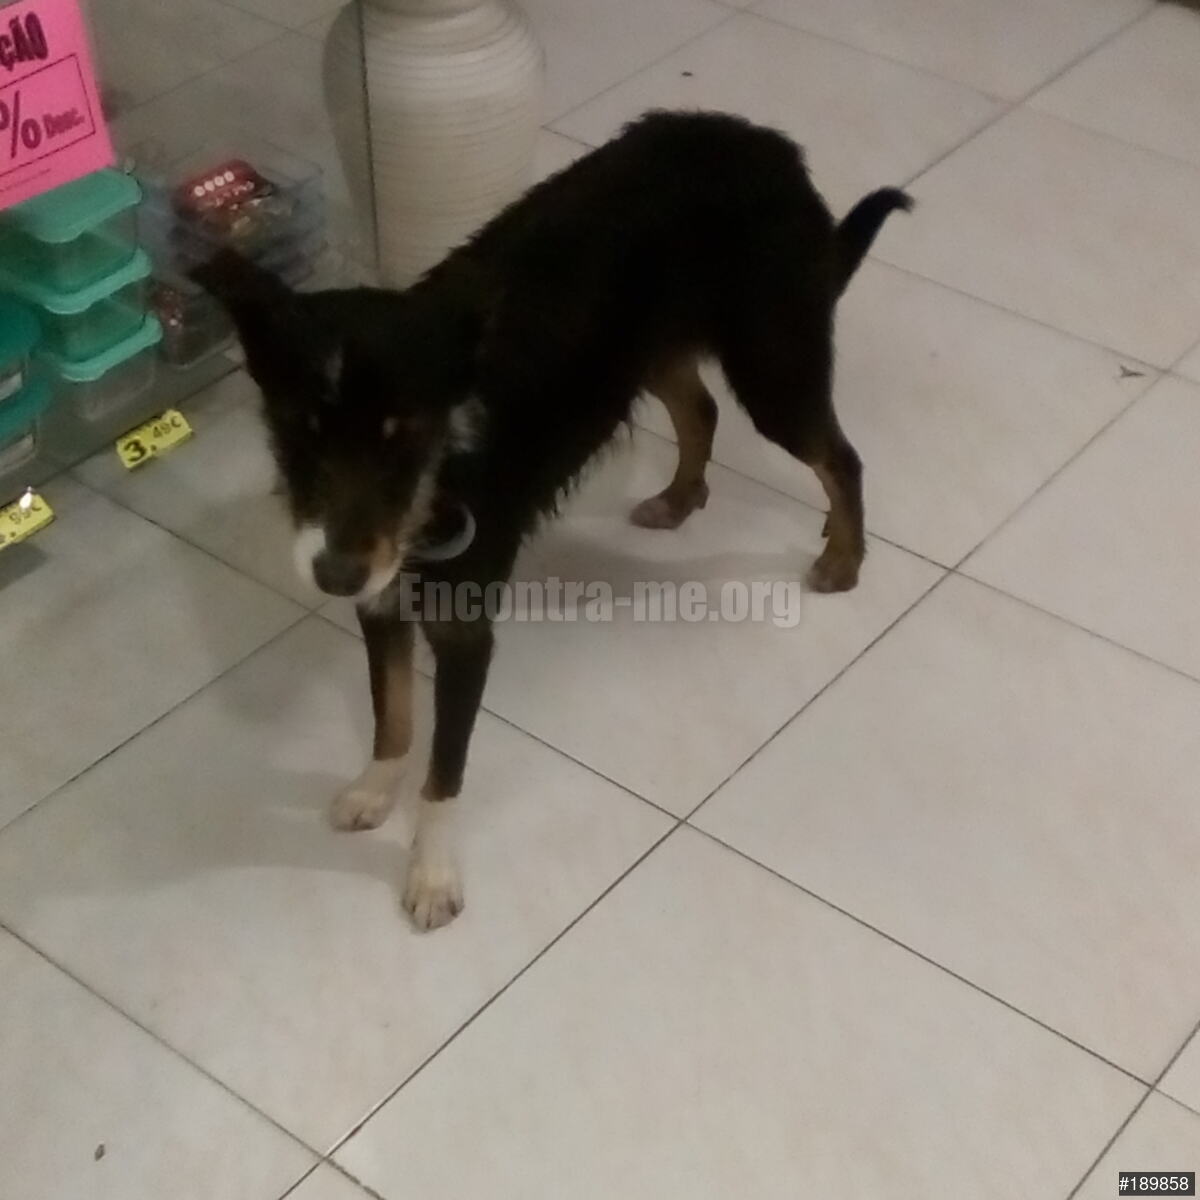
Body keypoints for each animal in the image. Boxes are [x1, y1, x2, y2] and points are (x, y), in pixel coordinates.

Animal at [195, 110, 911, 931]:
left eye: (404, 436)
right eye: (296, 432)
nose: (334, 575)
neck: (438, 476)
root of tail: (770, 144)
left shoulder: (466, 632)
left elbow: (444, 772)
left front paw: (432, 876)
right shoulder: (382, 603)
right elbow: (392, 716)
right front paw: (375, 792)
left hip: (773, 365)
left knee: (840, 458)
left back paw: (844, 557)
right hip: (650, 353)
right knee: (699, 409)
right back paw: (678, 497)